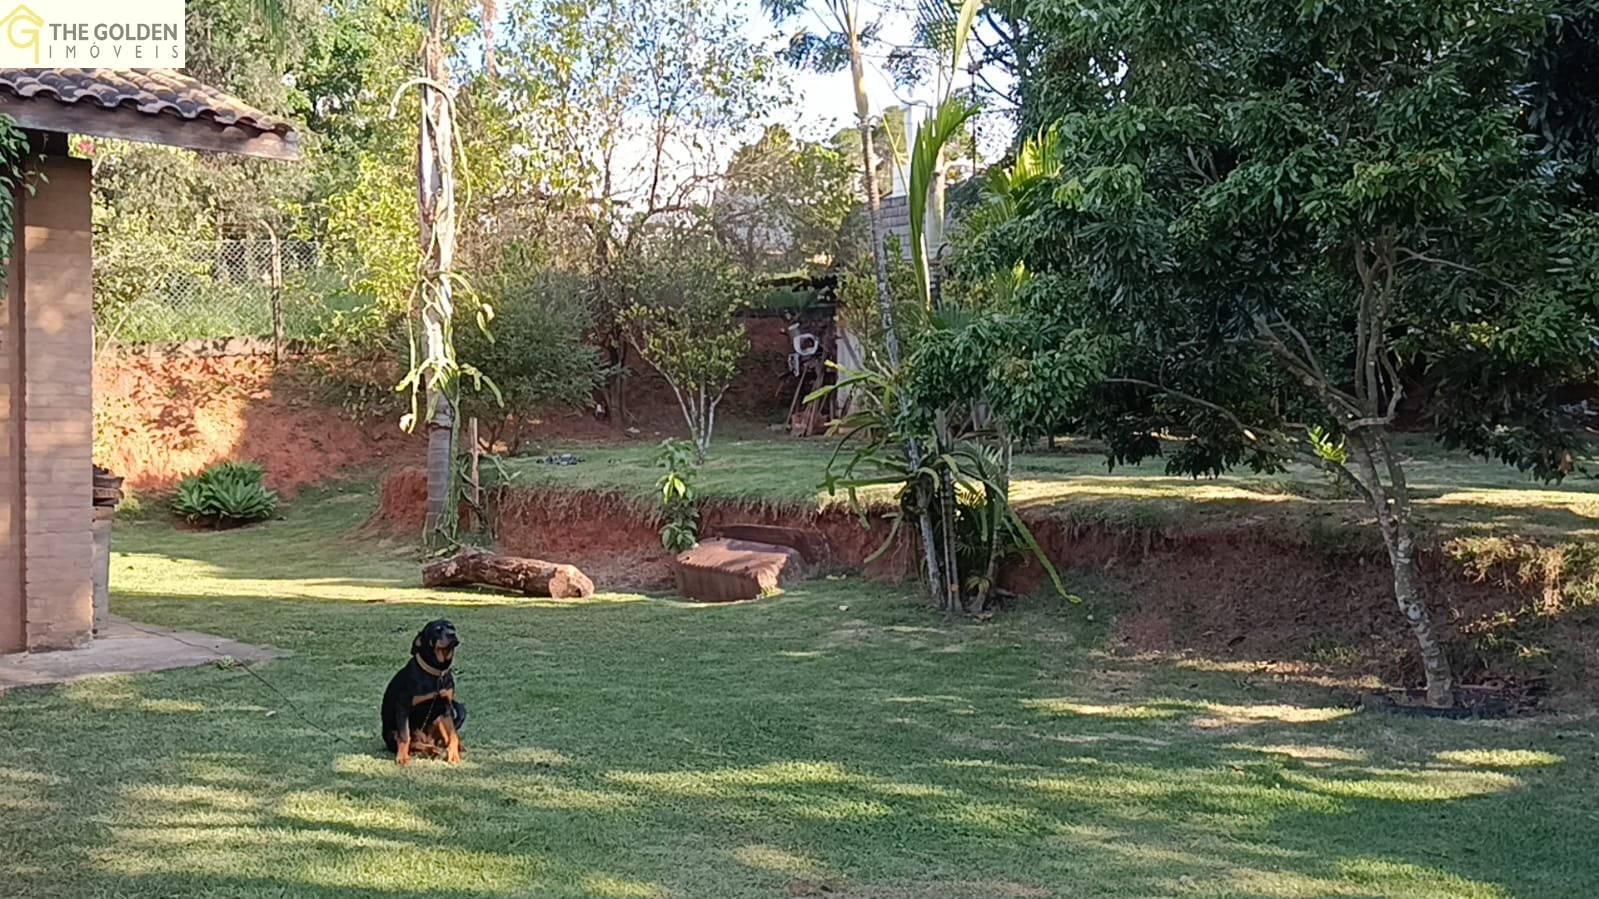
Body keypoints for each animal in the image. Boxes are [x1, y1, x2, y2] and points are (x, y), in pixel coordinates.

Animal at [382, 620, 466, 758]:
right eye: (437, 629)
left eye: (452, 627)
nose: (452, 634)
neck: (436, 674)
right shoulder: (402, 706)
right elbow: (404, 736)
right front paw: (402, 758)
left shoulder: (446, 707)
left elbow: (452, 735)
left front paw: (454, 756)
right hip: (392, 733)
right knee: (414, 743)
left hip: (438, 718)